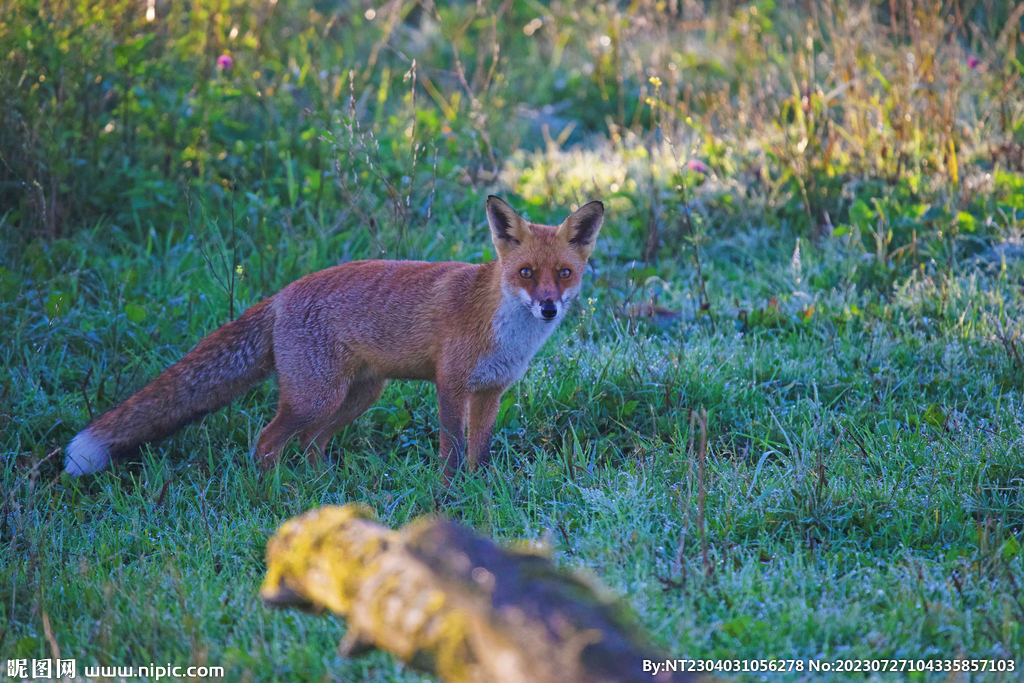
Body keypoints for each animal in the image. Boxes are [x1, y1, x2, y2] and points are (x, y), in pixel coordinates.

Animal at [64, 196, 602, 481]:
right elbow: (451, 449)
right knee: (268, 442)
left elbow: (480, 452)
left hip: (357, 395)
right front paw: (449, 495)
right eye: (526, 273)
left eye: (564, 274)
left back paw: (324, 492)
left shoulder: (490, 390)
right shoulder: (451, 384)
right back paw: (276, 495)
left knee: (310, 444)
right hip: (317, 397)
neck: (506, 332)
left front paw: (478, 490)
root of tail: (281, 294)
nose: (549, 307)